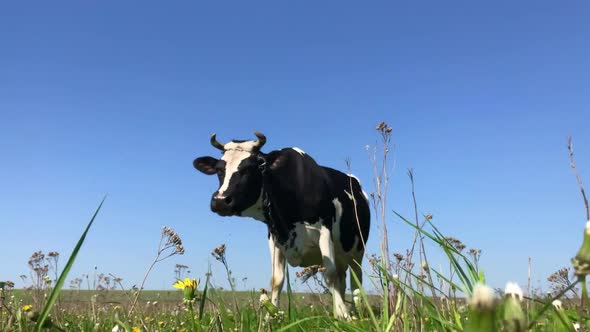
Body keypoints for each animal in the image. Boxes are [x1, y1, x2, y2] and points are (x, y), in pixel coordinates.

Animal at [193, 131, 370, 318]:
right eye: (220, 170)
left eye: (250, 167)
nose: (220, 201)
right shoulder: (275, 238)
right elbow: (276, 280)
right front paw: (271, 317)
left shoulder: (324, 232)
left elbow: (330, 274)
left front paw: (343, 316)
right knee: (342, 280)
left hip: (358, 251)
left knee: (355, 282)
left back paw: (356, 313)